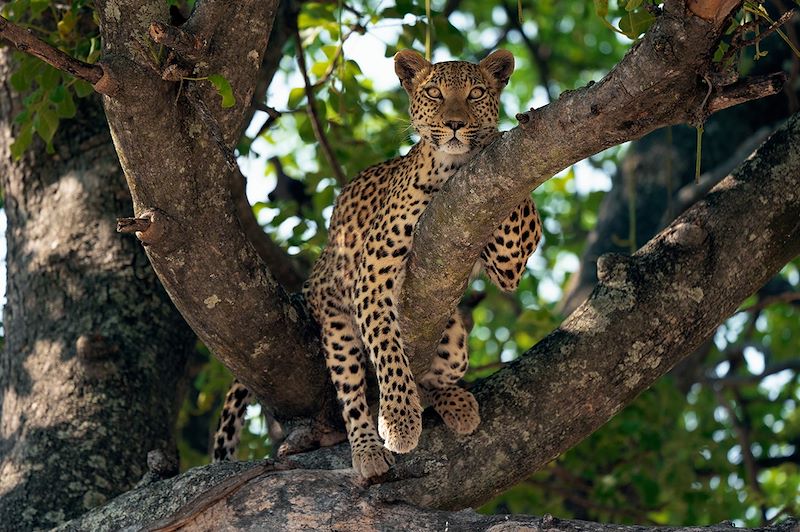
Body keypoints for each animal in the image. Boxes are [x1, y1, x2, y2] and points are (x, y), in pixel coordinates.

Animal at [211, 50, 544, 480]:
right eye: (434, 93)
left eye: (476, 93)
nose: (455, 124)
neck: (452, 170)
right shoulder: (373, 273)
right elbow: (388, 350)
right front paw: (400, 422)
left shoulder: (508, 259)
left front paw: (498, 135)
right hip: (336, 326)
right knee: (352, 397)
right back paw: (368, 450)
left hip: (455, 342)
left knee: (436, 379)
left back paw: (457, 404)